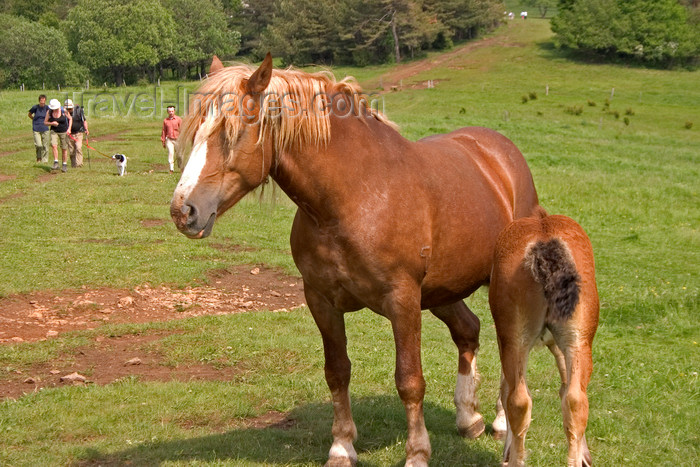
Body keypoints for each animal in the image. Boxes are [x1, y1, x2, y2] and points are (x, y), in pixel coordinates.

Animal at [171, 54, 540, 464]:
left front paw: (417, 452)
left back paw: (502, 422)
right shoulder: (321, 300)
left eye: (231, 132)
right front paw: (342, 445)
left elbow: (409, 380)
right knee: (468, 330)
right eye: (195, 129)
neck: (355, 195)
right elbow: (337, 372)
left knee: (510, 350)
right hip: (443, 290)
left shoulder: (403, 300)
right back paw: (468, 417)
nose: (183, 211)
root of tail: (501, 155)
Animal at [490, 213, 600, 467]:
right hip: (578, 341)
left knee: (518, 399)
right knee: (576, 399)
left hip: (515, 339)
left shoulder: (505, 339)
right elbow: (565, 387)